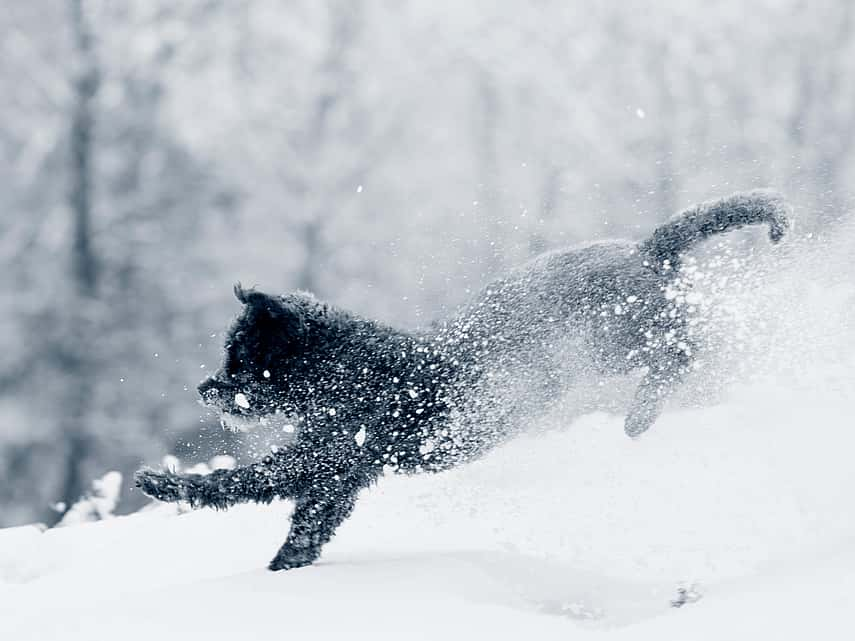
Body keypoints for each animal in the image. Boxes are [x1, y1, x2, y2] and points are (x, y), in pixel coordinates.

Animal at [137, 189, 792, 568]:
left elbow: (244, 479)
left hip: (624, 344)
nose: (205, 390)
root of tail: (646, 250)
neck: (351, 368)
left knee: (684, 354)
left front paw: (161, 483)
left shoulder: (328, 453)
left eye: (238, 357)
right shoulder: (342, 476)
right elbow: (309, 523)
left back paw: (641, 415)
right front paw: (285, 569)